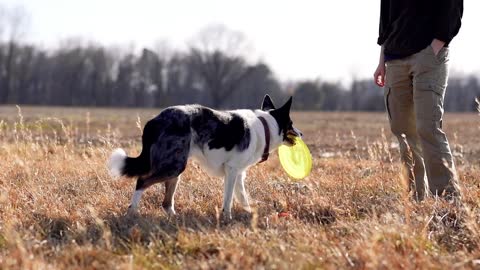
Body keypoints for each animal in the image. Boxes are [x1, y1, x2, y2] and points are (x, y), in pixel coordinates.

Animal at [109, 95, 300, 219]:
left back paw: (175, 217)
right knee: (142, 180)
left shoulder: (238, 173)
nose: (301, 134)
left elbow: (242, 196)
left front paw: (250, 213)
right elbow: (228, 199)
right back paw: (132, 211)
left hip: (175, 167)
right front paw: (226, 218)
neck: (265, 127)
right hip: (174, 166)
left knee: (166, 201)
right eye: (291, 124)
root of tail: (154, 120)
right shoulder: (232, 170)